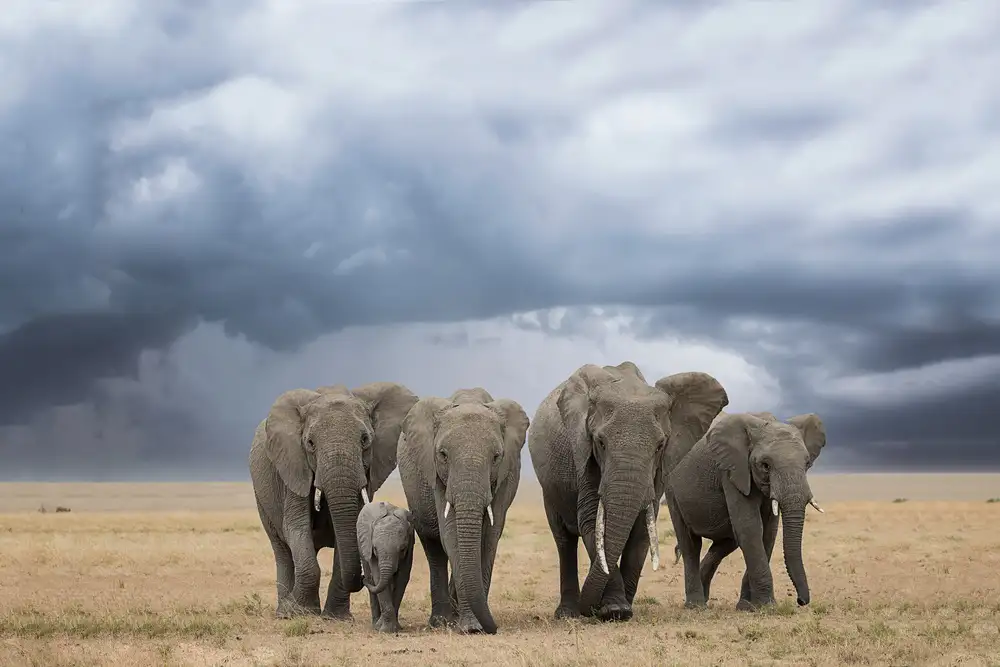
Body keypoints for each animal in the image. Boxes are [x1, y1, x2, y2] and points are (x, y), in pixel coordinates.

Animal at [249, 382, 419, 619]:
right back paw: (284, 612)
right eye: (310, 443)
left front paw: (336, 617)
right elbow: (296, 528)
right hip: (262, 497)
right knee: (282, 550)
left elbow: (352, 530)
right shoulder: (293, 467)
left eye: (365, 440)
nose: (364, 579)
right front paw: (298, 611)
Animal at [356, 500, 415, 633]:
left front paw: (395, 628)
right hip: (361, 544)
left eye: (402, 549)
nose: (361, 579)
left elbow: (402, 578)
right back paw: (374, 625)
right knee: (373, 579)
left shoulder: (410, 546)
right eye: (375, 549)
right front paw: (384, 630)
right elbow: (378, 577)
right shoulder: (370, 548)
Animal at [397, 387, 529, 634]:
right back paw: (441, 621)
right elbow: (451, 535)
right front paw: (471, 627)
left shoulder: (506, 475)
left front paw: (474, 626)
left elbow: (489, 537)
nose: (494, 627)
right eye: (443, 455)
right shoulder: (437, 476)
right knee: (433, 546)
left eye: (496, 457)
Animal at [528, 362, 729, 622]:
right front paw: (615, 609)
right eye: (600, 442)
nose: (589, 609)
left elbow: (642, 527)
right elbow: (592, 521)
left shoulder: (658, 471)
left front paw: (621, 608)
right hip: (550, 487)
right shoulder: (583, 456)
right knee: (563, 540)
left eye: (660, 445)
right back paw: (567, 614)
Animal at [662, 410, 827, 611]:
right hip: (671, 491)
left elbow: (768, 533)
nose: (801, 601)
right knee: (691, 545)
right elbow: (751, 528)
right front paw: (767, 606)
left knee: (726, 542)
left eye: (807, 463)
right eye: (765, 465)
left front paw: (747, 607)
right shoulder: (732, 471)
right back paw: (696, 606)